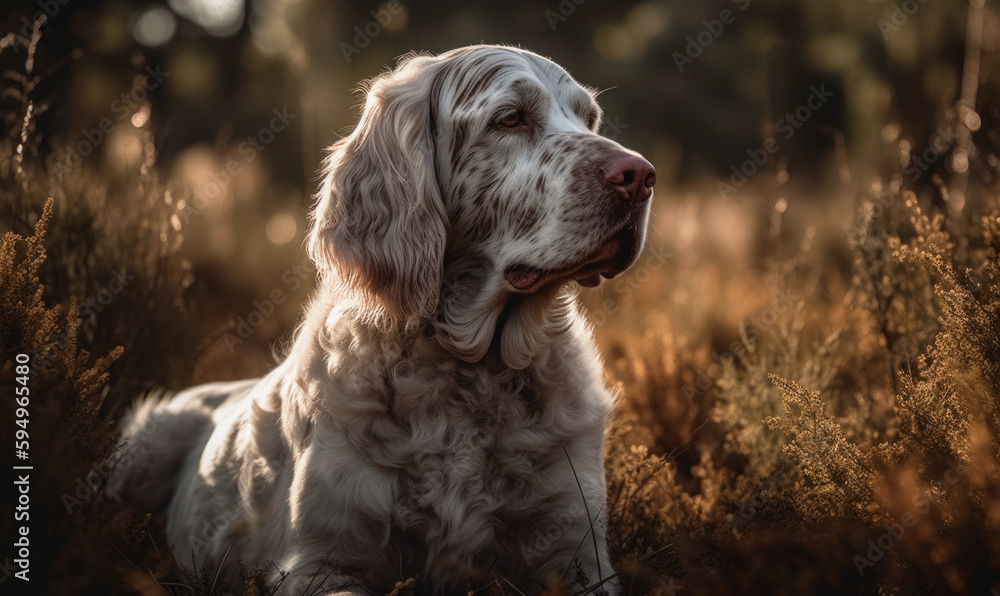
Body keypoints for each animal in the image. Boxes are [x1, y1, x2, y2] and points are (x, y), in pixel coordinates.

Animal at [109, 45, 656, 596]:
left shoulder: (579, 553)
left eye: (589, 119)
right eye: (510, 118)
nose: (640, 175)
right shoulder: (319, 563)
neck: (472, 373)